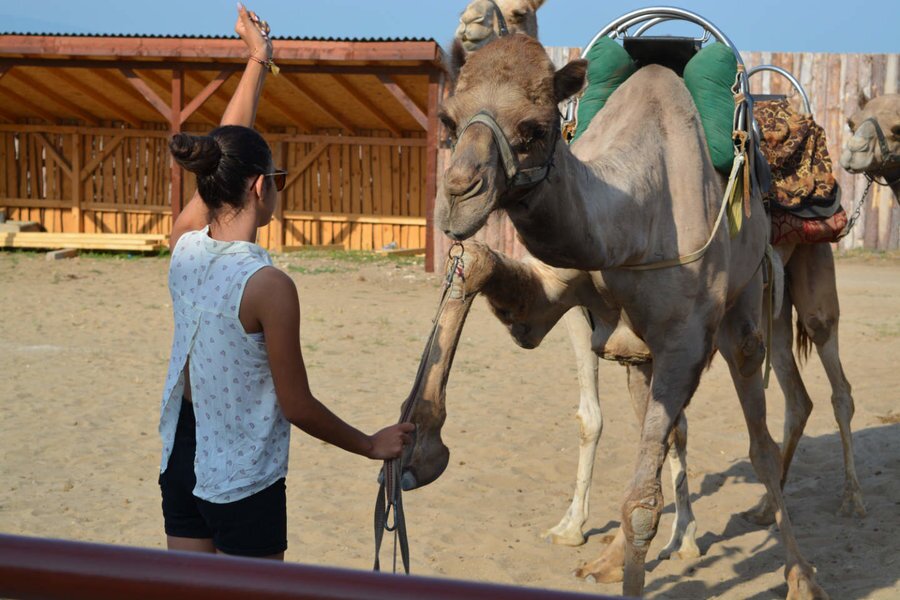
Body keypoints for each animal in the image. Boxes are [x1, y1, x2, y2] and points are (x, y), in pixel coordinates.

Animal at [404, 33, 828, 598]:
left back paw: (800, 575)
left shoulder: (686, 340)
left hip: (743, 315)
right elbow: (475, 263)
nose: (457, 195)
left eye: (535, 128)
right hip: (642, 355)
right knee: (670, 428)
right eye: (449, 121)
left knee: (759, 440)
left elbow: (641, 504)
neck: (632, 226)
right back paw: (616, 556)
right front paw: (419, 446)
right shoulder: (549, 303)